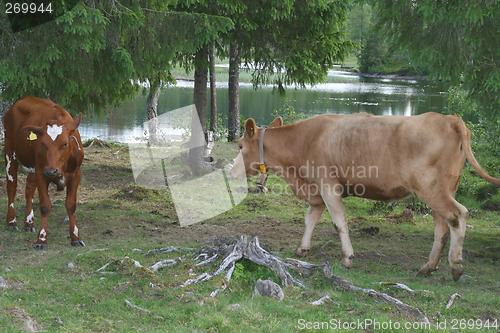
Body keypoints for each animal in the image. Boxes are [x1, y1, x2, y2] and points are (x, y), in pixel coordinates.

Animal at [2, 94, 85, 248]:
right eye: (43, 144)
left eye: (65, 144)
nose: (52, 171)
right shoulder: (41, 173)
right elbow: (45, 205)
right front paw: (41, 239)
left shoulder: (76, 174)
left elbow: (71, 205)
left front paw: (75, 237)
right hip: (10, 151)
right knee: (12, 186)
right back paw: (11, 221)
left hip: (32, 167)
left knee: (29, 189)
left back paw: (29, 223)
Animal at [230, 112, 500, 280]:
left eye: (240, 146)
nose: (231, 171)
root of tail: (449, 119)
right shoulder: (316, 190)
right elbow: (310, 219)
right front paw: (302, 249)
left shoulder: (329, 185)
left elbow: (339, 223)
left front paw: (347, 258)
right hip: (443, 189)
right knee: (442, 227)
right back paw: (428, 267)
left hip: (432, 188)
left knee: (458, 215)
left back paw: (455, 267)